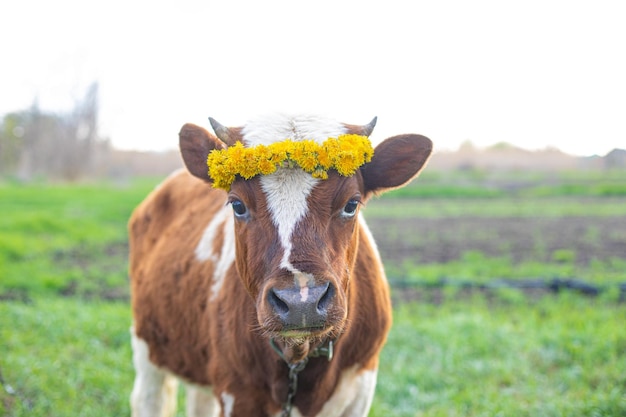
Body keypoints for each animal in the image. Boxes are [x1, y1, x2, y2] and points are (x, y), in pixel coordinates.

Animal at [129, 112, 432, 414]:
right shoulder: (237, 393)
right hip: (147, 348)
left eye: (351, 204)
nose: (301, 301)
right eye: (237, 205)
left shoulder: (361, 387)